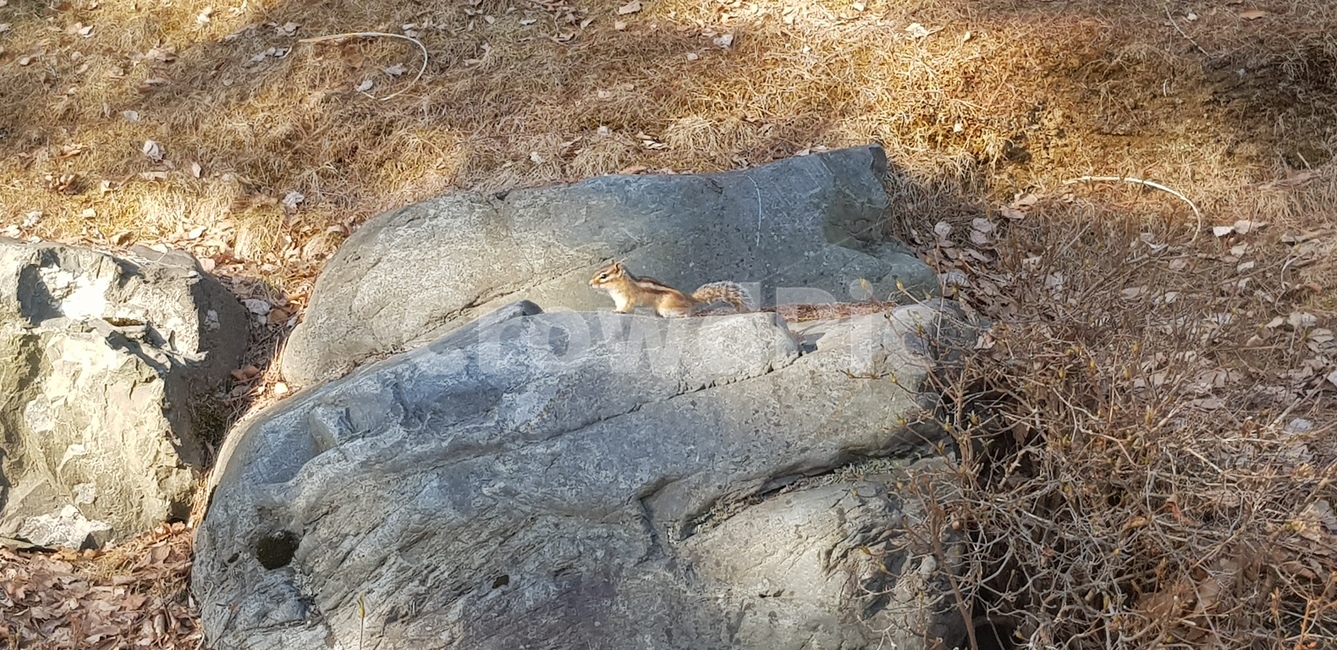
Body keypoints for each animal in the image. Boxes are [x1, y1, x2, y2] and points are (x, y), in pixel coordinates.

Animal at [588, 262, 754, 318]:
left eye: (603, 276)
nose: (589, 284)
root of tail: (688, 298)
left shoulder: (629, 298)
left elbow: (626, 307)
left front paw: (619, 312)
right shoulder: (618, 299)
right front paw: (615, 310)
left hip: (668, 307)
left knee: (687, 313)